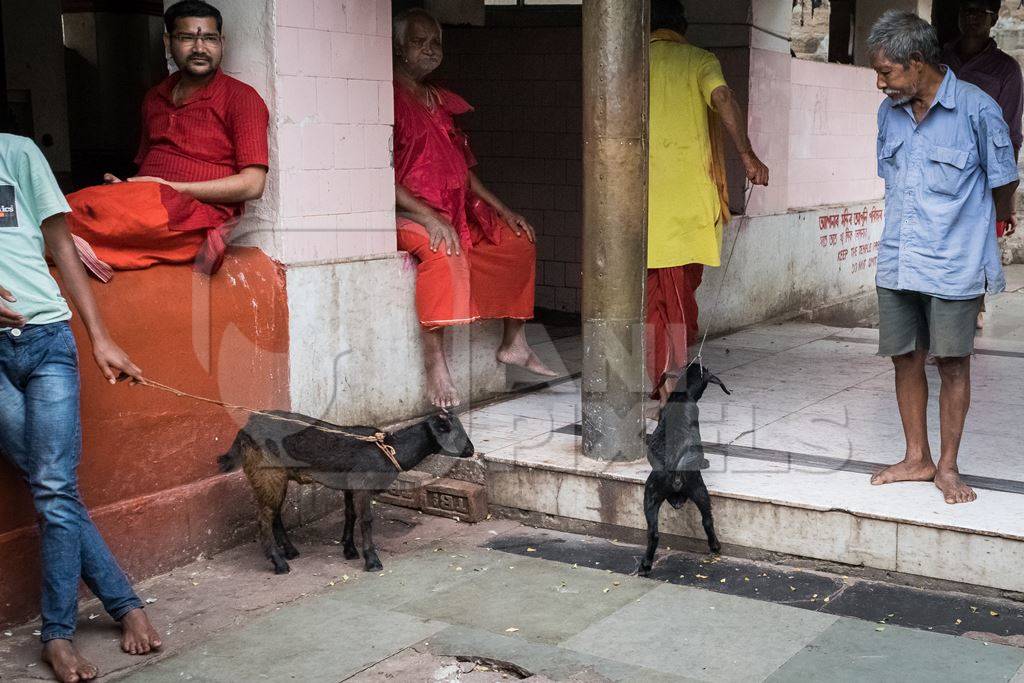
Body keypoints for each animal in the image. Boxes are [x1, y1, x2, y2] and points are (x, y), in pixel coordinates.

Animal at [220, 413, 475, 573]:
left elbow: (350, 515)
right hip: (266, 474)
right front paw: (371, 560)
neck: (389, 449)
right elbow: (366, 519)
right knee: (264, 518)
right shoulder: (363, 485)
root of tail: (245, 429)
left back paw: (290, 551)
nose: (471, 450)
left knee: (274, 514)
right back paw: (279, 563)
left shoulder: (349, 484)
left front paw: (349, 549)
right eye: (452, 431)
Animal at [634, 362, 733, 577]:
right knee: (707, 520)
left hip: (651, 496)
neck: (682, 394)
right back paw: (715, 546)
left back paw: (645, 565)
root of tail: (675, 473)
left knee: (653, 533)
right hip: (699, 490)